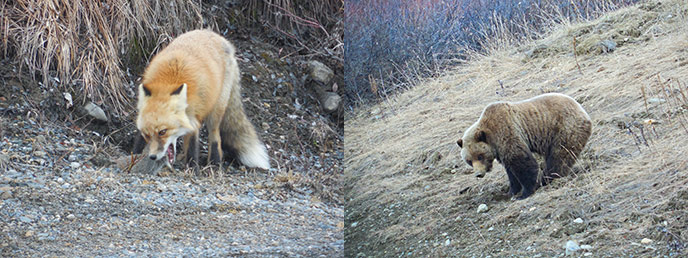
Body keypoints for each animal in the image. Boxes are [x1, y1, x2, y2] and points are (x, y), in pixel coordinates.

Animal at [136, 29, 270, 169]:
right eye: (146, 134)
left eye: (163, 132)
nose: (153, 156)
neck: (169, 81)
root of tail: (215, 35)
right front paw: (135, 154)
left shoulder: (193, 118)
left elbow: (192, 148)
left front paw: (192, 168)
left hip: (216, 110)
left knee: (215, 136)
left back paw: (215, 162)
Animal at [456, 93, 592, 200]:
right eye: (469, 160)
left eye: (480, 156)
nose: (478, 174)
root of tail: (582, 110)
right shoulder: (501, 150)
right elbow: (510, 170)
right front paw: (511, 191)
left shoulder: (507, 133)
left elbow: (522, 162)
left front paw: (525, 192)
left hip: (565, 128)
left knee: (560, 156)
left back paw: (549, 178)